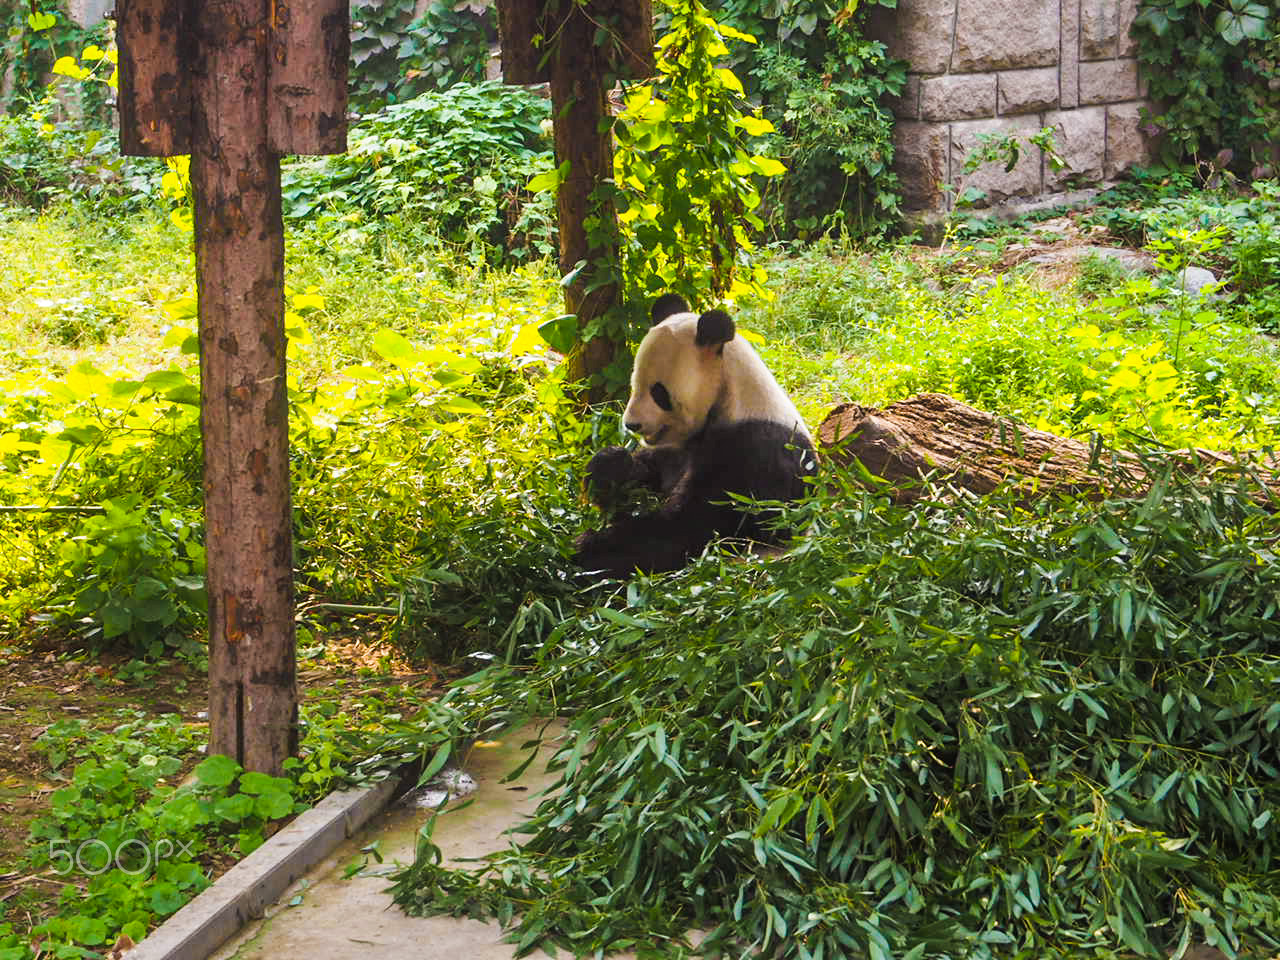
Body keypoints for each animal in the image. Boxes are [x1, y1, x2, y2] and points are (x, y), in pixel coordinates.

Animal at [574, 293, 817, 577]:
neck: (731, 396)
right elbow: (646, 480)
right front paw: (610, 464)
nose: (632, 424)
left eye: (658, 392)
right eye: (634, 384)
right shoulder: (674, 447)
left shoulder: (753, 450)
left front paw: (591, 549)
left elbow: (697, 525)